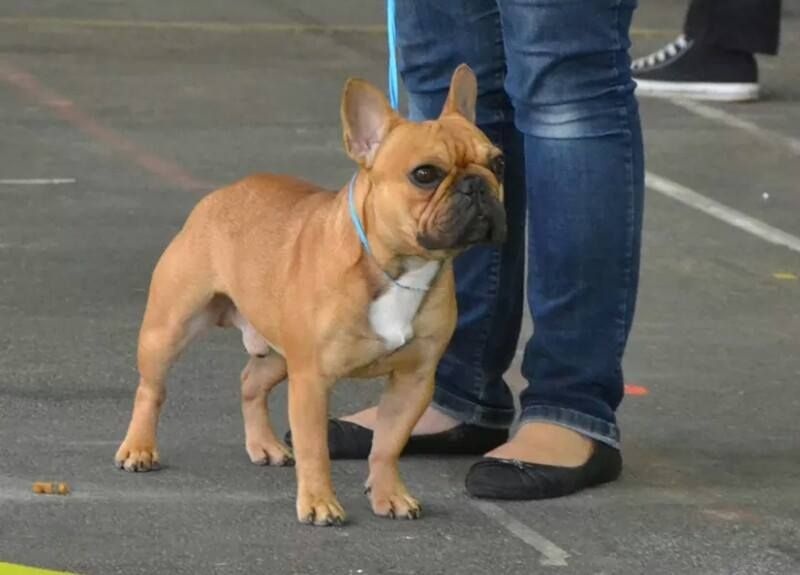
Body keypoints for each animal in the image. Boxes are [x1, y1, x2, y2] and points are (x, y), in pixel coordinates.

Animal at [114, 64, 506, 526]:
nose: (477, 185)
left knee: (250, 382)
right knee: (152, 389)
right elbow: (315, 448)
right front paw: (320, 503)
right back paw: (139, 448)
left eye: (498, 163)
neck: (393, 269)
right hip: (170, 327)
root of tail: (222, 193)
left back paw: (263, 445)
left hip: (280, 354)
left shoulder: (413, 381)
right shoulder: (312, 382)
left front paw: (389, 495)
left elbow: (388, 445)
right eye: (424, 174)